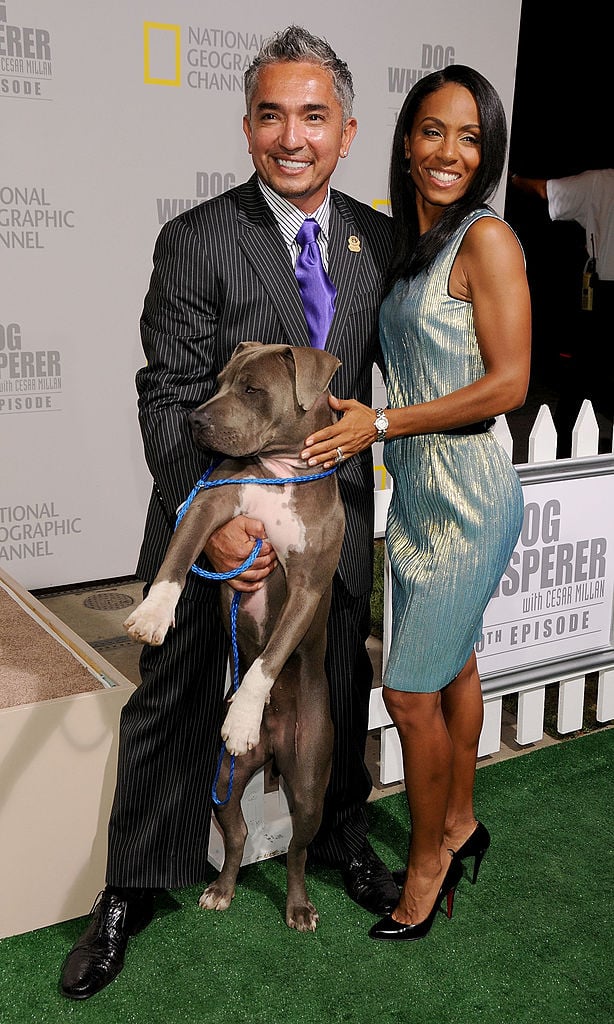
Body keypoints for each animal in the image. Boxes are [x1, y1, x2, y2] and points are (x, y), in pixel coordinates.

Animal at [124, 339, 345, 933]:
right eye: (218, 381)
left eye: (252, 389)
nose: (196, 420)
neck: (281, 470)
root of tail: (271, 752)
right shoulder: (209, 505)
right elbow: (177, 561)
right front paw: (153, 615)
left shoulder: (308, 587)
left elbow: (269, 658)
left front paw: (243, 715)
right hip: (222, 780)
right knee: (240, 834)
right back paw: (221, 890)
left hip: (309, 780)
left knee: (297, 851)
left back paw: (299, 907)